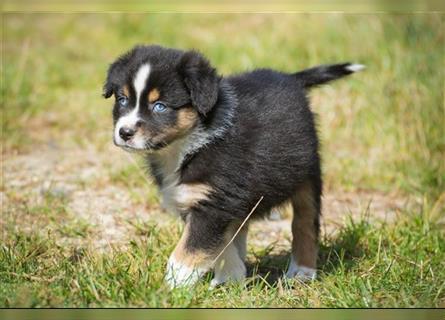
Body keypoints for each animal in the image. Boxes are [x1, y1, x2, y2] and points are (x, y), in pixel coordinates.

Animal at [104, 45, 364, 288]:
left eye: (160, 106)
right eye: (122, 100)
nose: (124, 132)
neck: (188, 145)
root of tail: (290, 78)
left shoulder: (214, 201)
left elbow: (188, 250)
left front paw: (171, 288)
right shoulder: (199, 200)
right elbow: (220, 242)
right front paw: (231, 277)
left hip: (307, 175)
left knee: (305, 224)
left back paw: (302, 272)